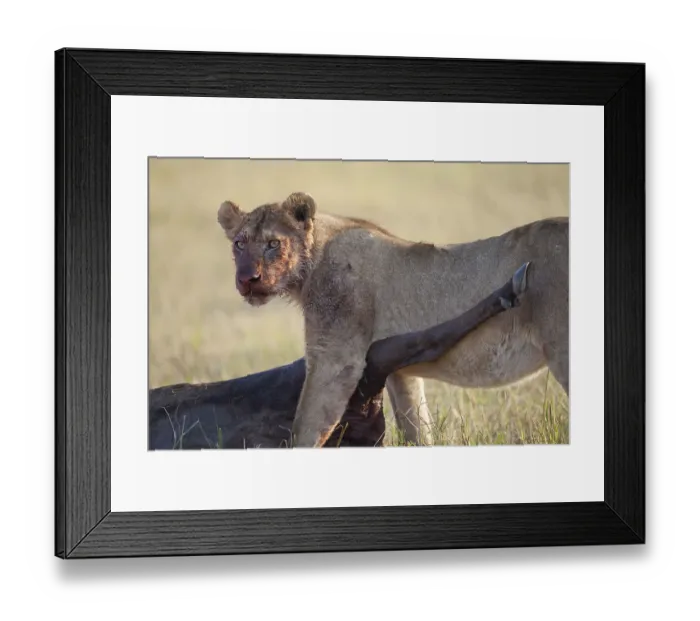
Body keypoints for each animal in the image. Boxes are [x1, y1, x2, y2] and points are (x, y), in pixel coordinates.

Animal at [217, 191, 569, 448]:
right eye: (239, 243)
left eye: (273, 244)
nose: (247, 279)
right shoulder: (401, 374)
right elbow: (417, 428)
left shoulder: (336, 358)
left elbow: (306, 426)